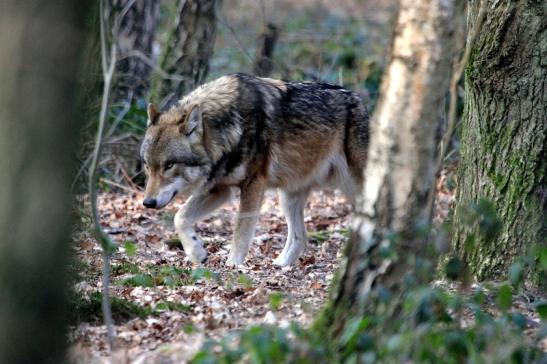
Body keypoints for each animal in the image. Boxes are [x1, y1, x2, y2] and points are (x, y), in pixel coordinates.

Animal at [140, 74, 368, 268]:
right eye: (147, 165)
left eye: (169, 165)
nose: (147, 203)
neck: (227, 126)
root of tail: (361, 100)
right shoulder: (220, 189)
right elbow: (180, 217)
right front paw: (197, 252)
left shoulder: (253, 184)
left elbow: (240, 233)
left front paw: (233, 267)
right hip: (288, 196)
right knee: (300, 237)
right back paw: (279, 267)